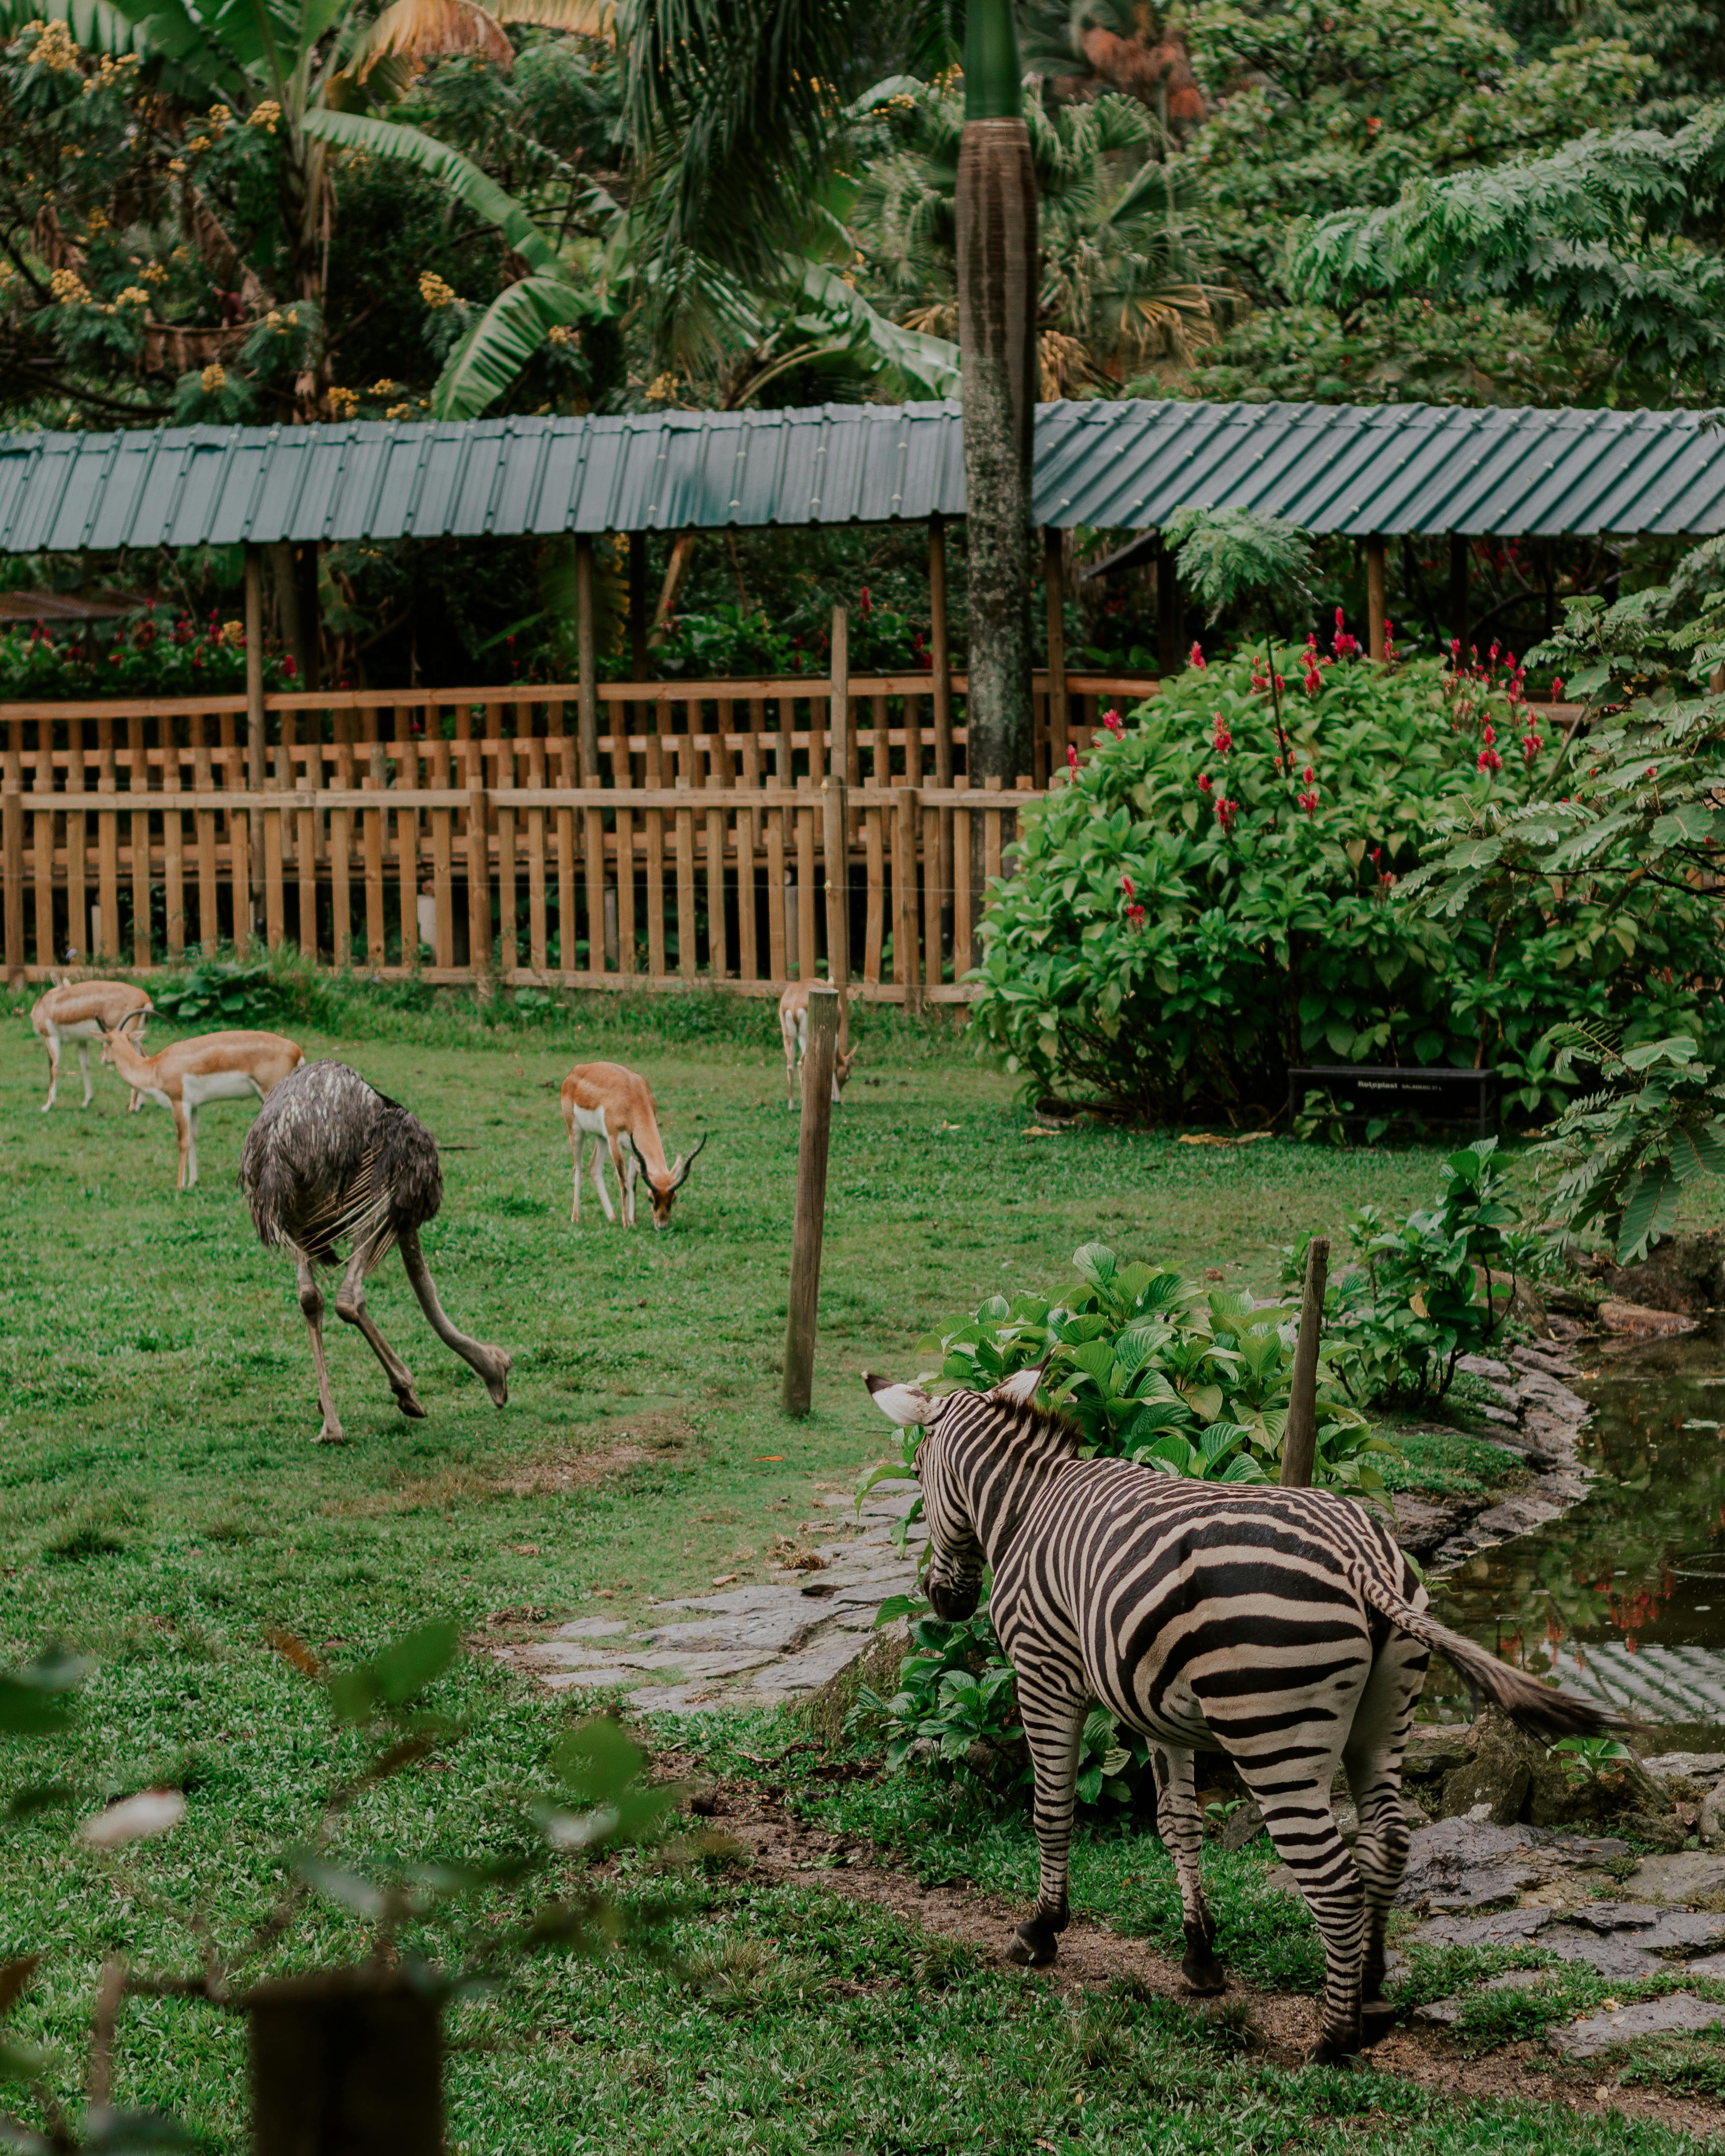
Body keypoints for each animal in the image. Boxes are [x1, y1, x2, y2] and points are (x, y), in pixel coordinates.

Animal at [31, 978, 153, 1112]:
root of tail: (145, 999)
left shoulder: (51, 1037)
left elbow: (53, 1067)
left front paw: (47, 1106)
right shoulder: (82, 1040)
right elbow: (85, 1066)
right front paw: (87, 1101)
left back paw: (133, 1107)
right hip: (135, 1037)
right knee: (144, 1059)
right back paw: (139, 1105)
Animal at [101, 1018, 304, 1190]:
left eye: (106, 1042)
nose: (103, 1059)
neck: (156, 1068)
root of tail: (297, 1051)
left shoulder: (179, 1103)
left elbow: (182, 1141)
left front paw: (180, 1185)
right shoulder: (194, 1107)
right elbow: (193, 1138)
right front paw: (193, 1182)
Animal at [561, 1061, 703, 1233]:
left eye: (674, 1198)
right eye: (650, 1198)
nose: (662, 1226)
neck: (633, 1096)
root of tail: (576, 1070)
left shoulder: (633, 1148)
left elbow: (632, 1181)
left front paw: (633, 1220)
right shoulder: (614, 1140)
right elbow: (623, 1181)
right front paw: (626, 1224)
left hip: (601, 1138)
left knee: (594, 1167)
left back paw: (612, 1216)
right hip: (576, 1131)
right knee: (578, 1167)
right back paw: (576, 1217)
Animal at [780, 983, 862, 1112]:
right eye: (849, 1077)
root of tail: (794, 1004)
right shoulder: (835, 1037)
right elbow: (833, 1064)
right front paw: (837, 1099)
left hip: (790, 1038)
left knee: (791, 1066)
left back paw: (792, 1106)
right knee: (801, 1063)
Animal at [862, 1371, 1621, 2061]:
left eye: (917, 1475)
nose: (945, 1602)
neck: (1026, 1505)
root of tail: (1361, 1558)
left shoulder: (1044, 1672)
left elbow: (1052, 1810)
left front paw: (1041, 1930)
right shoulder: (1155, 1707)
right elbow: (1179, 1826)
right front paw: (1201, 1957)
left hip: (1272, 1735)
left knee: (1334, 1879)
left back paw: (1334, 2039)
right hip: (1384, 1720)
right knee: (1387, 1841)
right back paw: (1372, 1992)